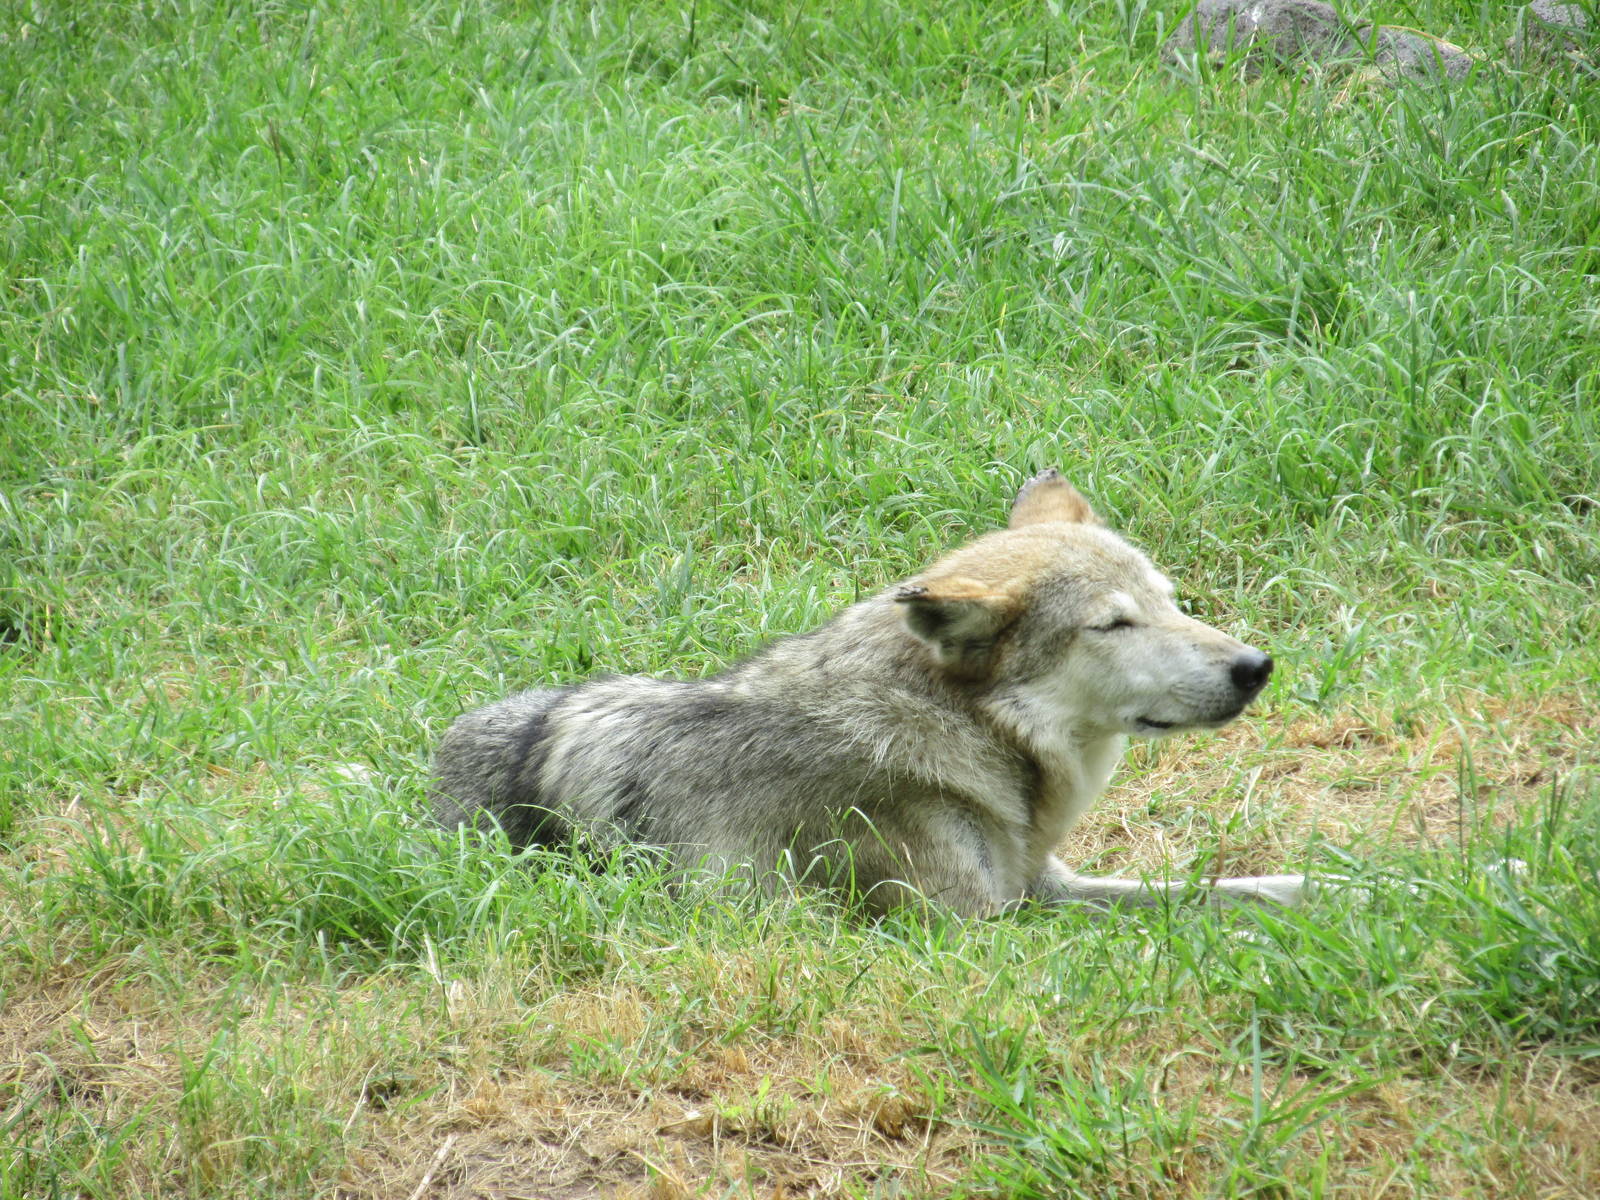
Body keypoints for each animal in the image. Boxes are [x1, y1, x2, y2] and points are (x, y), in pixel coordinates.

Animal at [431, 470, 1306, 917]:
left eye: (1172, 602)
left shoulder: (1043, 884)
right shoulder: (975, 924)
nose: (1254, 665)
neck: (963, 728)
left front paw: (1337, 892)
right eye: (1114, 625)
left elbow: (1234, 891)